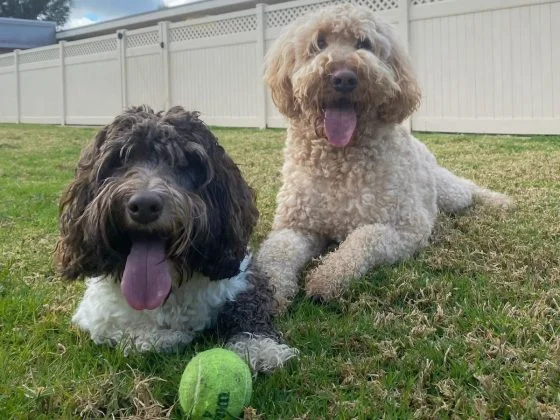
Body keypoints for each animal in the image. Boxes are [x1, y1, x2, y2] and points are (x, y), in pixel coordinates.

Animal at [56, 106, 297, 372]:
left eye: (188, 162)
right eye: (120, 159)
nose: (144, 205)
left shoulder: (241, 278)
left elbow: (249, 308)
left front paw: (258, 347)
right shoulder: (96, 313)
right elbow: (125, 331)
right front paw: (164, 337)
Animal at [256, 4, 511, 312]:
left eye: (364, 43)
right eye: (319, 43)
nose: (344, 77)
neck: (339, 162)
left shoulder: (408, 228)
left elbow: (364, 237)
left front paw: (328, 276)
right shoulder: (296, 226)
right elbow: (276, 252)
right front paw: (269, 293)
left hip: (450, 194)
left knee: (469, 190)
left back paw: (498, 201)